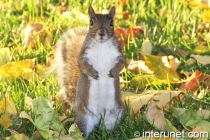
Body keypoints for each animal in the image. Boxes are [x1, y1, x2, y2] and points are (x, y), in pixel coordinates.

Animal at [54, 6, 126, 138]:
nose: (101, 33)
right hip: (84, 117)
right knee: (83, 131)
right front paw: (92, 73)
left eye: (111, 23)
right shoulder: (83, 55)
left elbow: (122, 64)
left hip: (116, 114)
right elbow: (82, 65)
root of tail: (99, 118)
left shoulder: (119, 55)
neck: (101, 45)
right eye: (91, 22)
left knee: (107, 128)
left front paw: (113, 72)